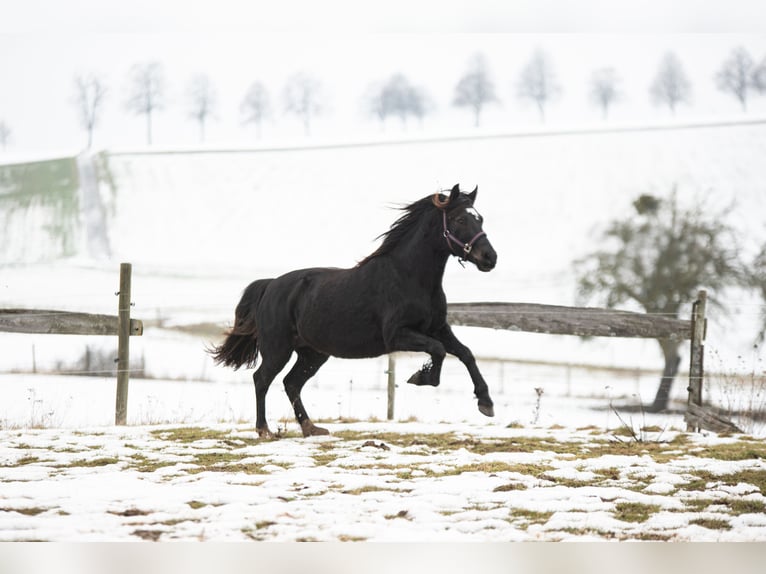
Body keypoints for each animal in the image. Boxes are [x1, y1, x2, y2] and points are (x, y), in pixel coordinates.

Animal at [209, 183, 498, 437]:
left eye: (480, 218)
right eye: (460, 219)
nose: (490, 258)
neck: (409, 277)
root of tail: (270, 286)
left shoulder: (438, 328)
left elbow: (465, 353)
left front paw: (485, 402)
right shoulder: (398, 335)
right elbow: (438, 351)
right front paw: (421, 377)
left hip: (312, 354)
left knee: (291, 383)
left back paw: (311, 428)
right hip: (278, 348)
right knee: (262, 379)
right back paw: (264, 430)